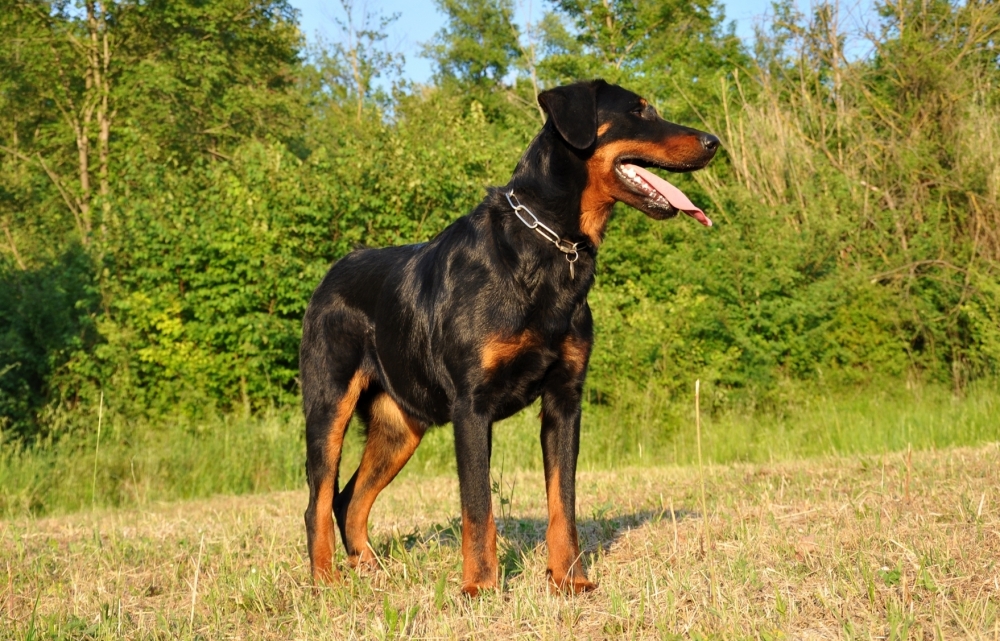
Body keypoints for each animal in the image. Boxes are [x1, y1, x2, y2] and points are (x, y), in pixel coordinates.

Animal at [298, 80, 720, 596]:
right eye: (640, 111)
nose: (713, 142)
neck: (552, 245)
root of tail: (328, 276)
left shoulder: (564, 401)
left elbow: (563, 504)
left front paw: (570, 579)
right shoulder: (471, 406)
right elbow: (479, 509)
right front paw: (479, 587)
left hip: (401, 427)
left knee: (350, 499)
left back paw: (373, 571)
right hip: (329, 407)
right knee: (318, 502)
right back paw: (326, 583)